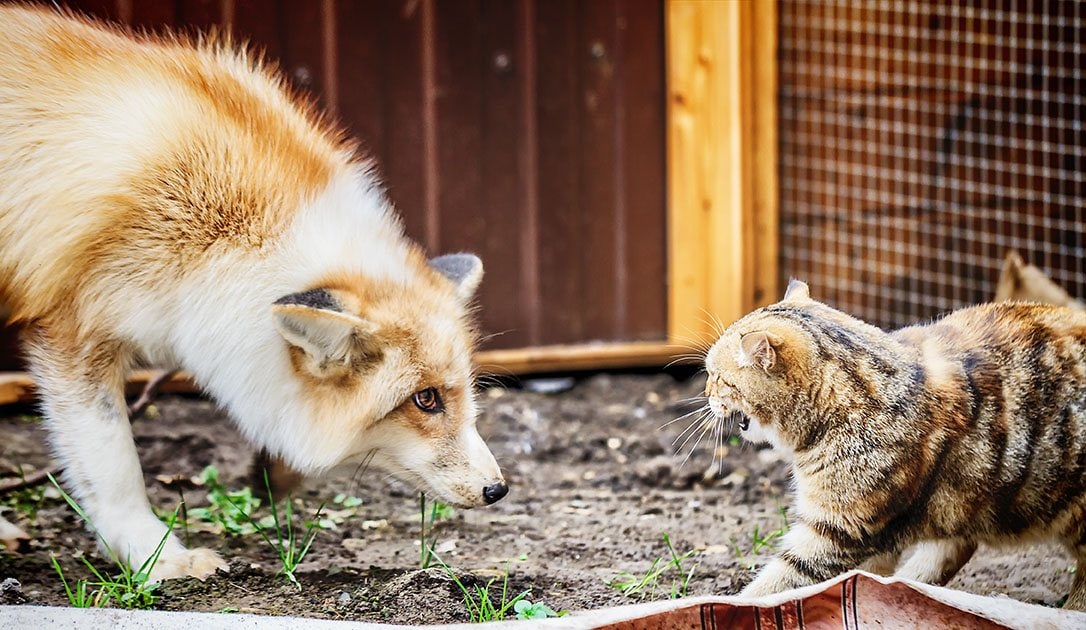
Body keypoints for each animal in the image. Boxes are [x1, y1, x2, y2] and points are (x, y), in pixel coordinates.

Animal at [0, 7, 508, 582]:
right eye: (426, 399)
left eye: (462, 393)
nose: (498, 490)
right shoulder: (74, 332)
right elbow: (114, 467)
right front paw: (158, 559)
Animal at [703, 280, 1086, 608]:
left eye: (717, 377)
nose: (705, 393)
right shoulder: (871, 535)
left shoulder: (838, 532)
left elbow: (775, 585)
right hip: (967, 500)